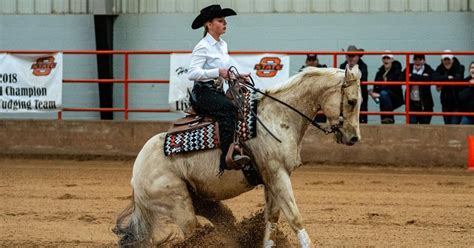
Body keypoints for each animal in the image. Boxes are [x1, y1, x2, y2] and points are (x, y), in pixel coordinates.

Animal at [115, 65, 362, 247]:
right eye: (351, 101)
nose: (353, 138)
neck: (278, 117)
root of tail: (136, 174)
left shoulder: (271, 179)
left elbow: (272, 219)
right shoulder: (278, 174)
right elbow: (294, 217)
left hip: (202, 201)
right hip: (179, 207)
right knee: (186, 234)